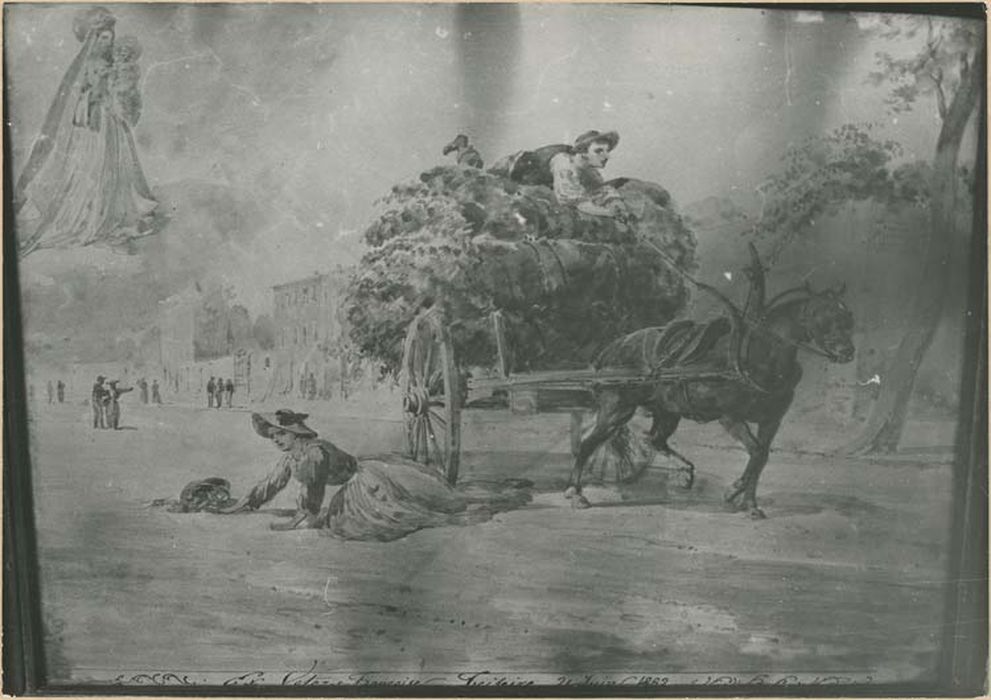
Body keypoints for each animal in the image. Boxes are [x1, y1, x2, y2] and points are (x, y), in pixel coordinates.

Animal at [568, 284, 856, 520]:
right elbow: (756, 452)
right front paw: (735, 491)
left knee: (655, 439)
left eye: (848, 317)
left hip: (668, 411)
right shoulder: (730, 417)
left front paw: (748, 503)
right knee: (588, 444)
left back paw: (684, 470)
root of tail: (614, 347)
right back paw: (575, 492)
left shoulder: (771, 421)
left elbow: (761, 457)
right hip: (616, 409)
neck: (758, 356)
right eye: (823, 314)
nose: (848, 352)